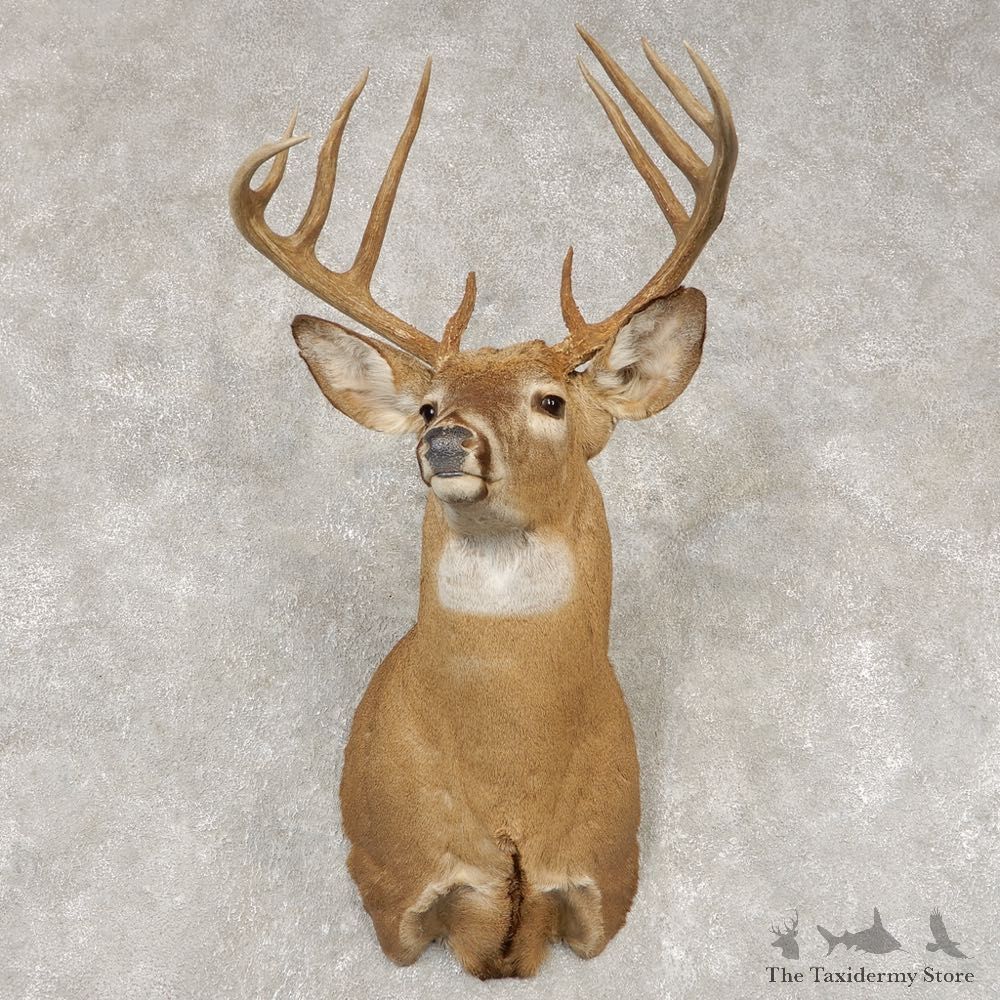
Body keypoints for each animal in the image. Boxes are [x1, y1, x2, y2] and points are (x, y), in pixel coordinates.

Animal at [229, 25, 737, 980]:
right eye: (429, 405)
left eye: (552, 400)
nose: (448, 441)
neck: (509, 789)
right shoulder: (390, 880)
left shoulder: (609, 875)